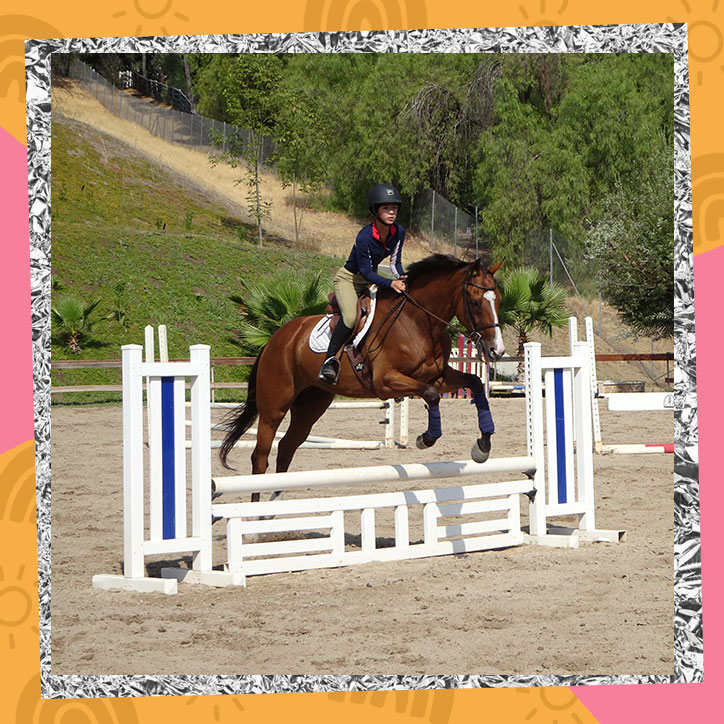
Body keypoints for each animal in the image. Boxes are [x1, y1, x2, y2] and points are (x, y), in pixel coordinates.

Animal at [218, 253, 506, 498]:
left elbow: (475, 384)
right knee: (260, 456)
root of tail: (276, 338)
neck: (418, 322)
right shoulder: (386, 382)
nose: (497, 350)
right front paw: (426, 438)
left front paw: (482, 446)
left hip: (311, 404)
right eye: (475, 302)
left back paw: (273, 508)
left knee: (287, 447)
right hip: (274, 407)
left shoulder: (439, 375)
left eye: (500, 300)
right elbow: (431, 395)